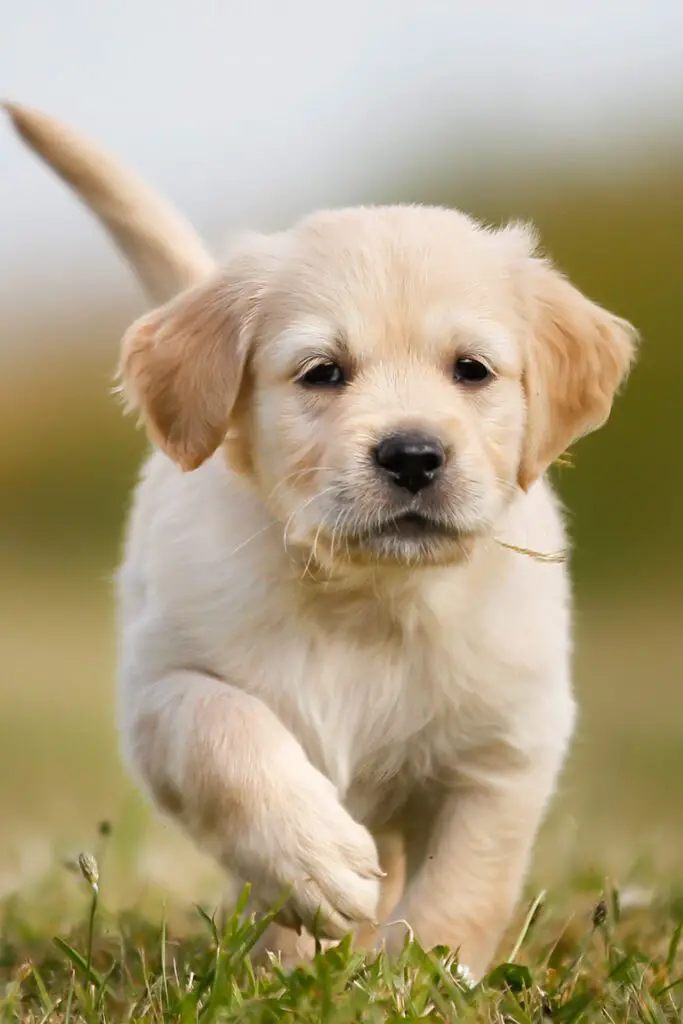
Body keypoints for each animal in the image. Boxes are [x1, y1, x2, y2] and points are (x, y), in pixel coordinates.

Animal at [5, 103, 638, 974]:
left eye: (471, 370)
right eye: (322, 372)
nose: (412, 455)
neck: (367, 598)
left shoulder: (508, 745)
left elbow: (466, 881)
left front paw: (418, 974)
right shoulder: (160, 688)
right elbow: (225, 731)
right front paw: (314, 863)